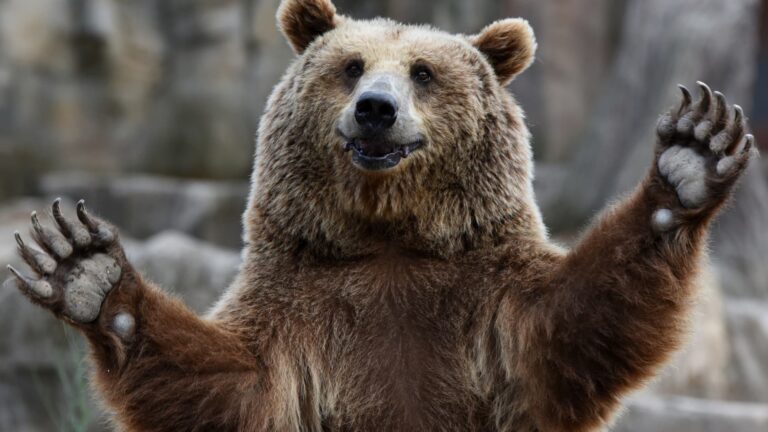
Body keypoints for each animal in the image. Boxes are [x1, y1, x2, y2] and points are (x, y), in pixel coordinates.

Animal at [4, 0, 757, 430]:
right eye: (351, 64)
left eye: (423, 71)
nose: (375, 108)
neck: (389, 234)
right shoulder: (305, 304)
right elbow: (232, 386)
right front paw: (86, 270)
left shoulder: (485, 296)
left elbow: (579, 320)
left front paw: (690, 157)